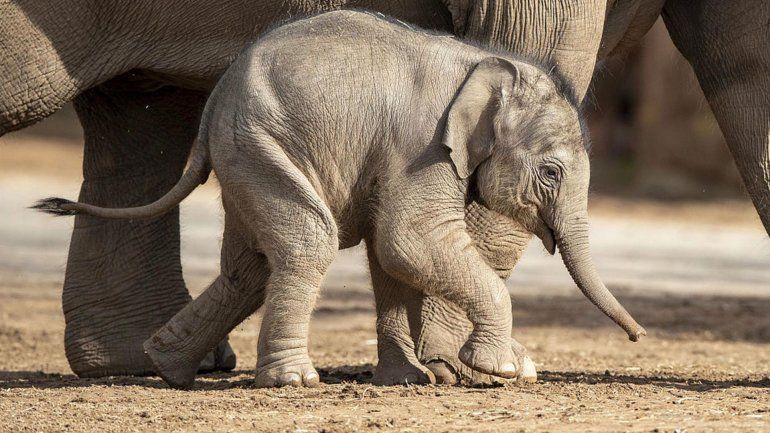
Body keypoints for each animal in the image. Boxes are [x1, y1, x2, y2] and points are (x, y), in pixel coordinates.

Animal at [2, 1, 767, 382]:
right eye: (550, 173)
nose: (640, 336)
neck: (483, 67)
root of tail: (217, 100)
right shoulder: (423, 148)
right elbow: (407, 240)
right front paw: (498, 370)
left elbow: (390, 253)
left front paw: (417, 378)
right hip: (264, 143)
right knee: (302, 246)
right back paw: (293, 381)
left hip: (254, 153)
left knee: (250, 263)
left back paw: (165, 365)